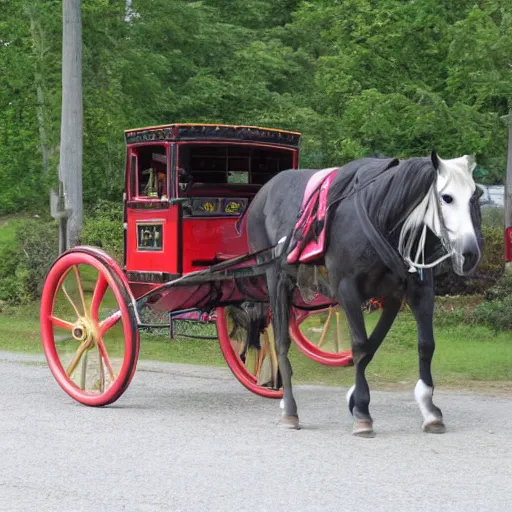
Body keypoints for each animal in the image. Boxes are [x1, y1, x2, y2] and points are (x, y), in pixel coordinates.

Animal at [246, 152, 482, 436]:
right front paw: (361, 411)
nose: (470, 254)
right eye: (447, 197)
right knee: (281, 341)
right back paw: (290, 409)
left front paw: (428, 408)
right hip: (275, 277)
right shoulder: (347, 289)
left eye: (475, 195)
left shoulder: (410, 290)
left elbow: (416, 344)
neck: (381, 218)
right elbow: (360, 346)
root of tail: (264, 192)